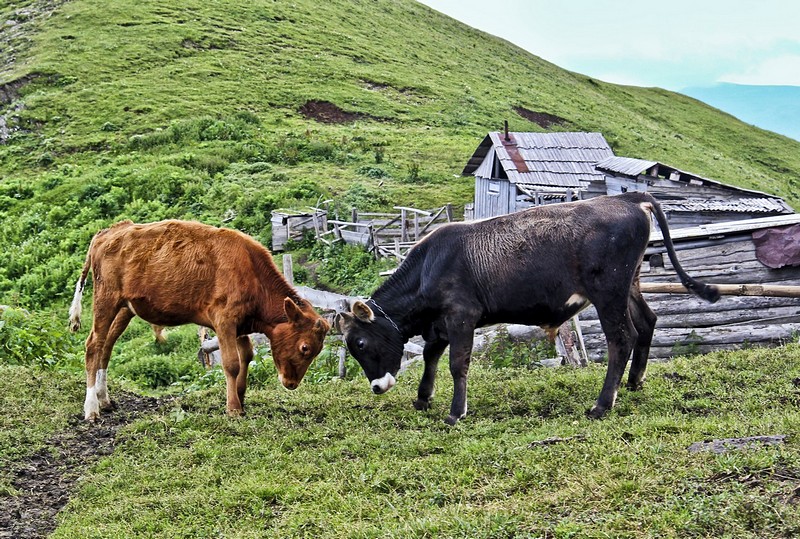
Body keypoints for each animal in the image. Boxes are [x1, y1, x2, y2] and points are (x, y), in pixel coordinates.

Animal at [69, 219, 330, 422]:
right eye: (305, 347)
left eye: (317, 351)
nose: (291, 383)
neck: (252, 273)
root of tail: (110, 231)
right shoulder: (224, 320)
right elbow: (231, 363)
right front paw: (233, 408)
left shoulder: (241, 324)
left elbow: (247, 356)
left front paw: (240, 397)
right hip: (106, 299)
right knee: (93, 345)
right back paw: (91, 408)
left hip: (125, 308)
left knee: (107, 345)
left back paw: (104, 399)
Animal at [334, 192, 720, 424]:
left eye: (361, 344)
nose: (377, 387)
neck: (430, 264)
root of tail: (628, 197)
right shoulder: (440, 322)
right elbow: (430, 356)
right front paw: (422, 398)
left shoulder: (461, 315)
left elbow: (457, 364)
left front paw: (456, 412)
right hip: (630, 285)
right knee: (648, 322)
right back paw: (634, 383)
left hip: (608, 290)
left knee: (622, 338)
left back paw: (602, 404)